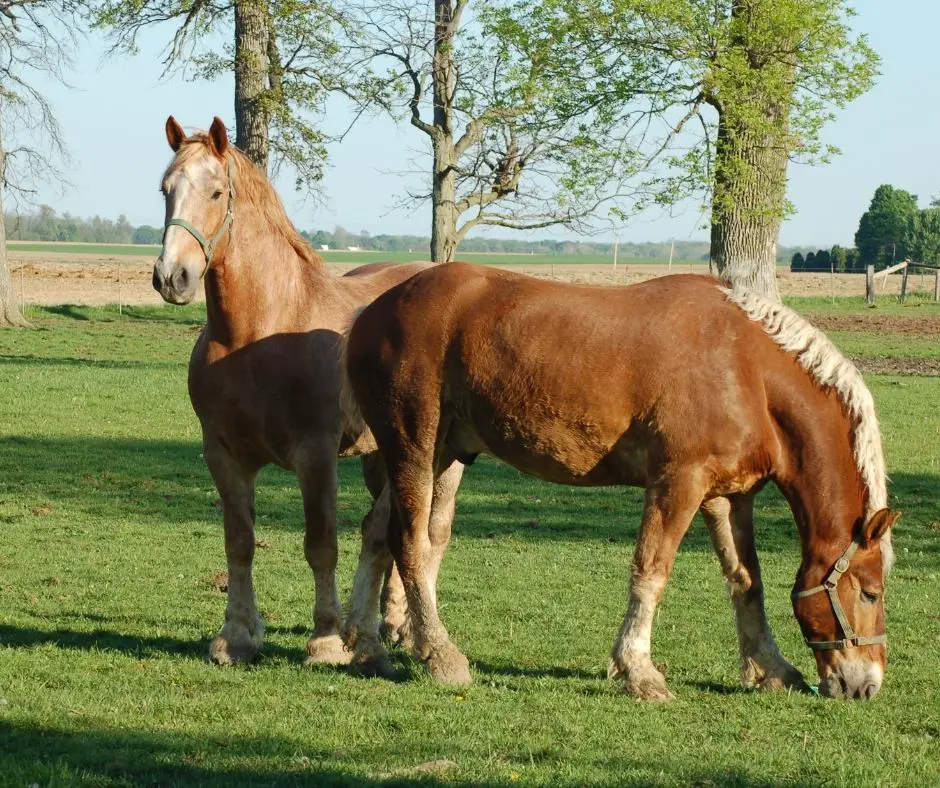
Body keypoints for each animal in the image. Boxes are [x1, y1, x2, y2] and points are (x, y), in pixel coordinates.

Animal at [151, 117, 462, 668]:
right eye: (165, 190)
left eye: (216, 192)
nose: (172, 278)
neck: (259, 330)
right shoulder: (223, 454)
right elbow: (240, 541)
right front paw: (236, 636)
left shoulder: (315, 455)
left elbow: (321, 544)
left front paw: (326, 639)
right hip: (381, 456)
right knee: (385, 533)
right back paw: (388, 624)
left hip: (440, 457)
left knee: (431, 530)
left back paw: (408, 633)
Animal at [342, 266, 900, 700]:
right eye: (871, 593)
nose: (866, 685)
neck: (746, 369)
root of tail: (372, 312)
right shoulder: (678, 483)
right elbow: (651, 572)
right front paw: (639, 671)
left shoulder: (727, 497)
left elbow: (746, 581)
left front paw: (771, 669)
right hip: (414, 446)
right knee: (409, 542)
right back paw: (440, 656)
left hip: (436, 453)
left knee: (376, 534)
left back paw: (365, 645)